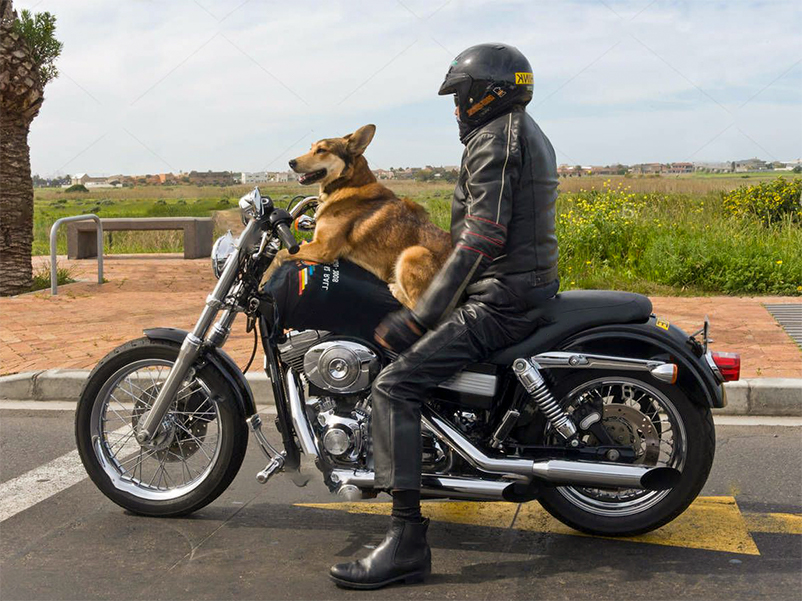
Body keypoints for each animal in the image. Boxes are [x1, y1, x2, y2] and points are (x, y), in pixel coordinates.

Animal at [270, 123, 450, 310]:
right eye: (311, 148)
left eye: (321, 150)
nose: (291, 162)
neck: (346, 185)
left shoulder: (323, 248)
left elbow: (280, 254)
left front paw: (263, 281)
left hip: (413, 253)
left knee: (417, 307)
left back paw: (396, 289)